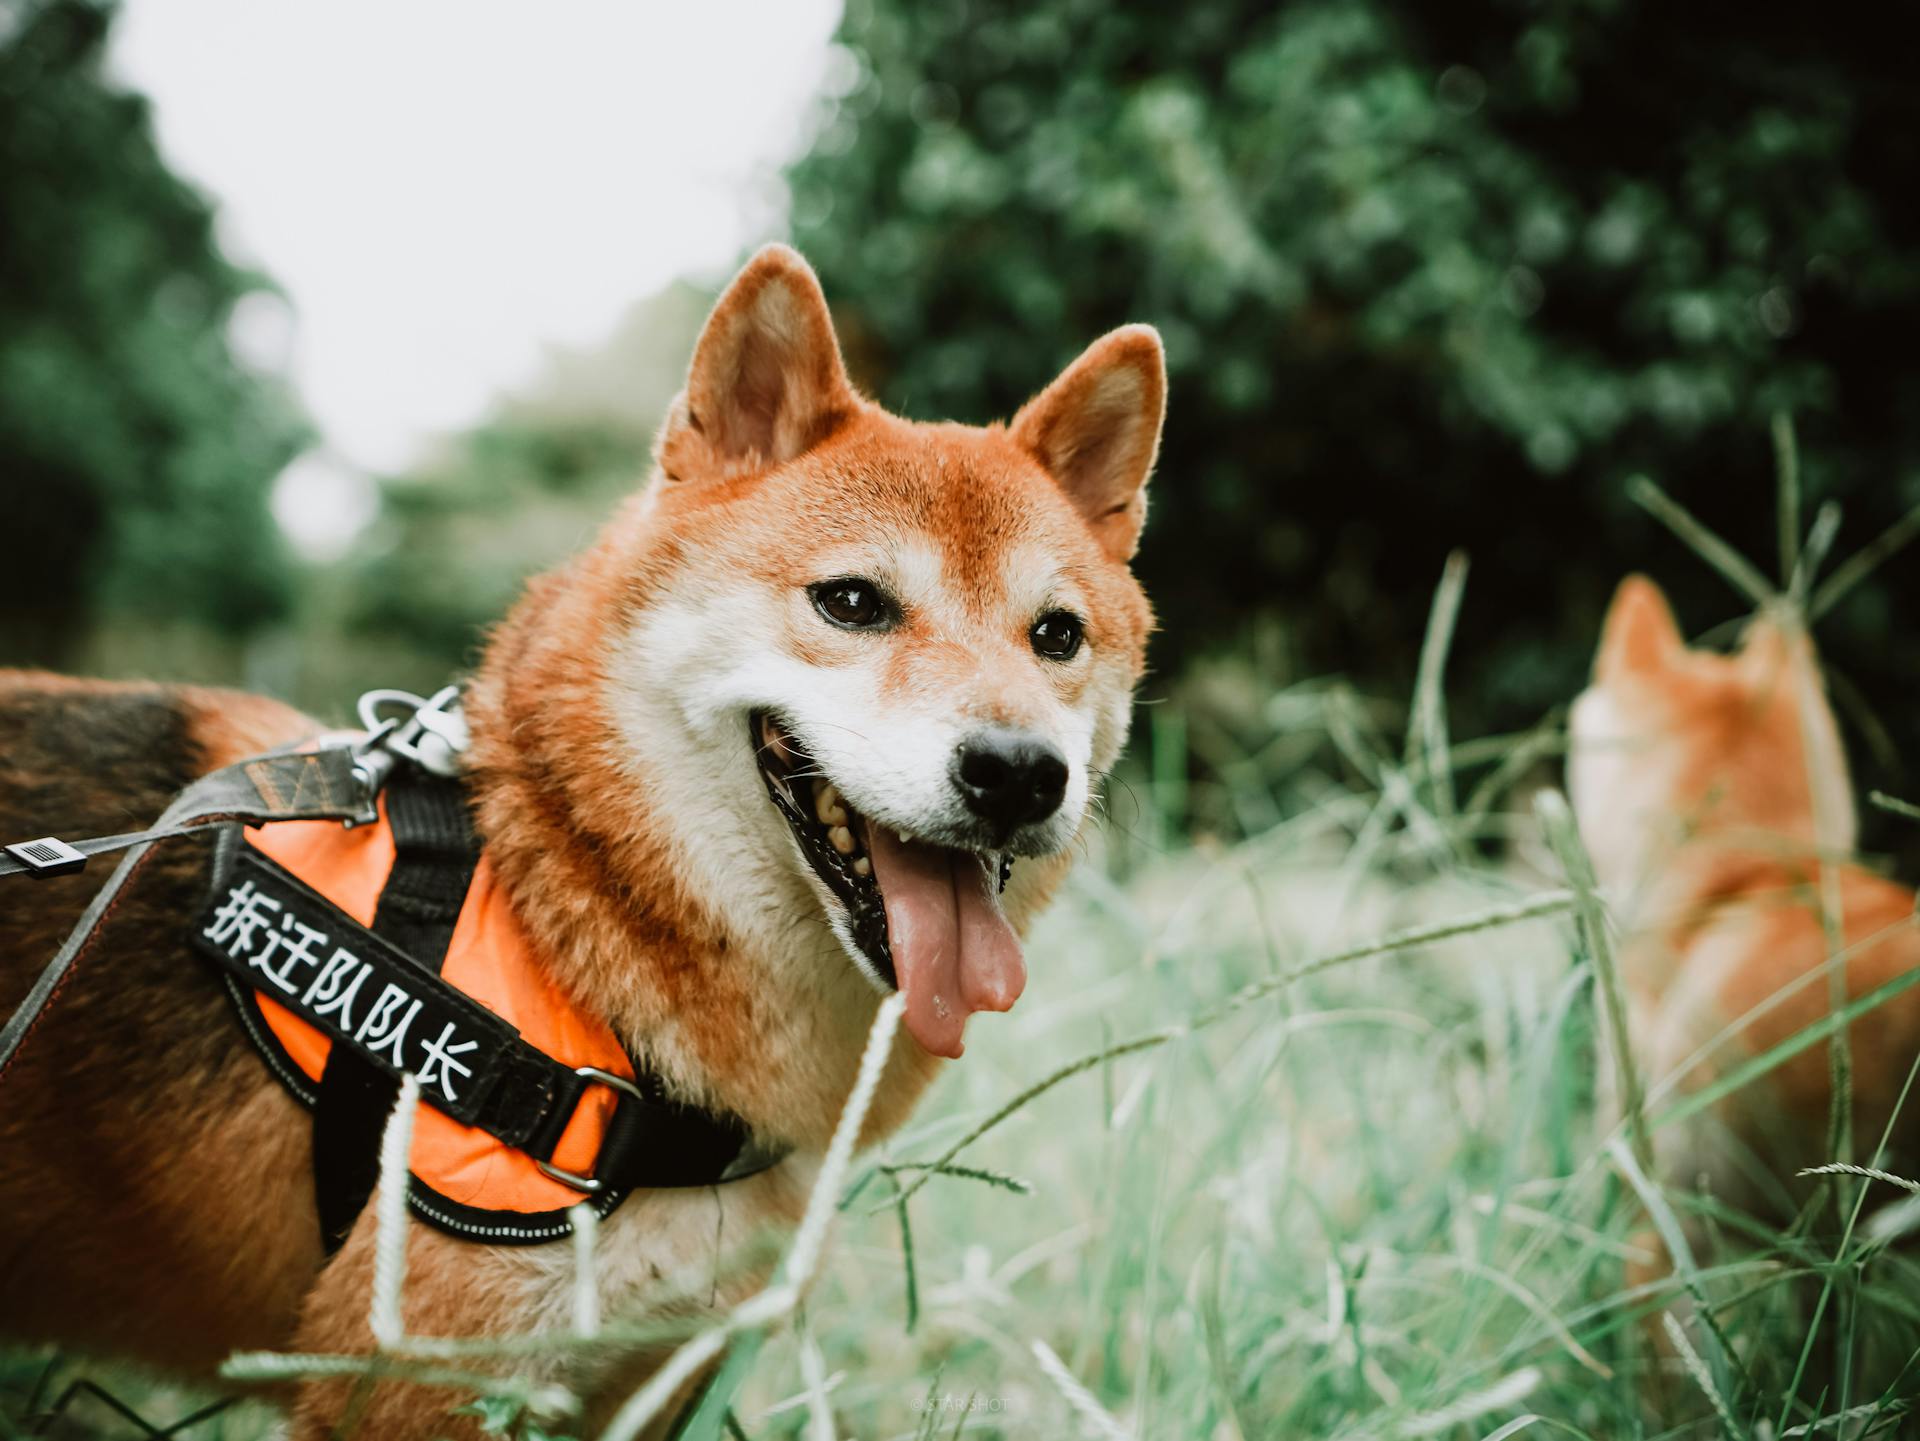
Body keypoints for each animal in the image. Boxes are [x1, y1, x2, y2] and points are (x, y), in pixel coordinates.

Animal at [0, 242, 1167, 1435]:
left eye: (1056, 635)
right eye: (850, 602)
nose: (1020, 773)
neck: (557, 908)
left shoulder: (650, 1379)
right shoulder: (412, 1389)